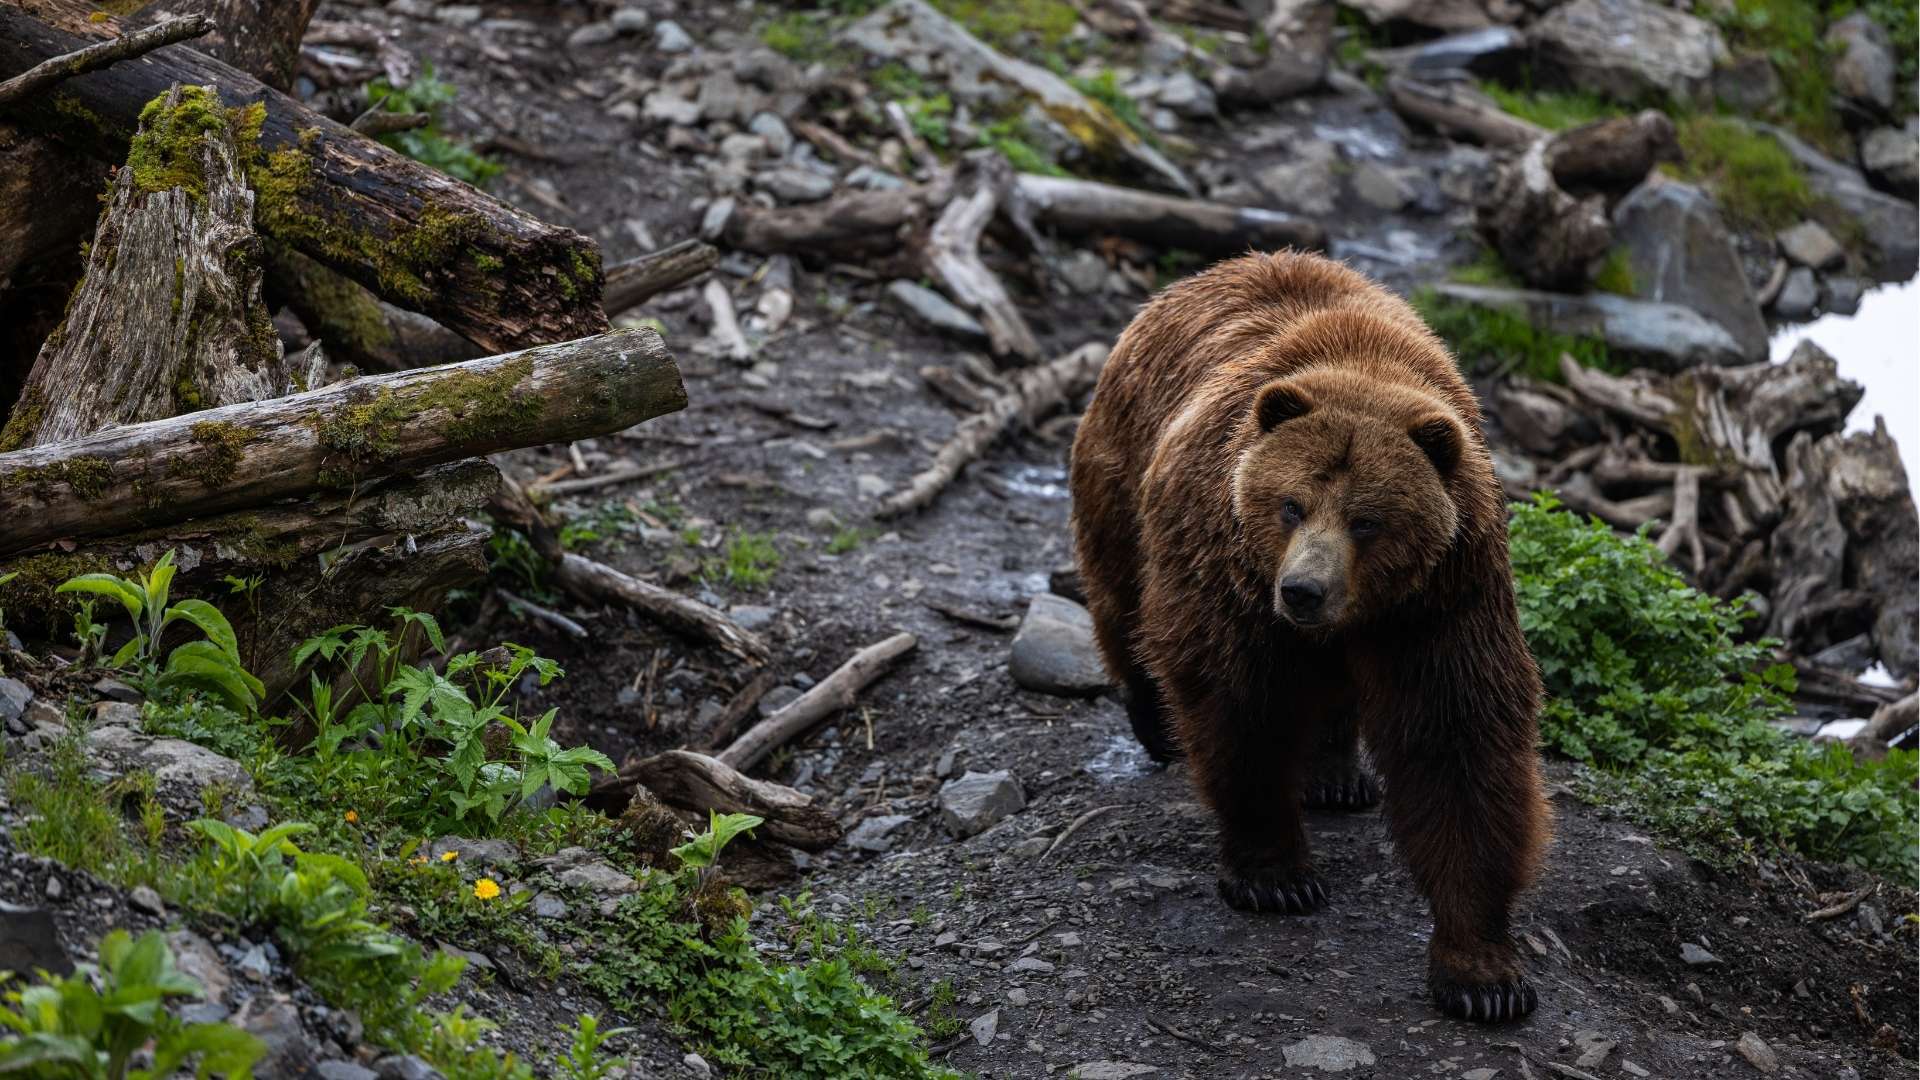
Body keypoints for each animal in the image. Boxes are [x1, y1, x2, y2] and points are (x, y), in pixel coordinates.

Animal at [1068, 251, 1551, 1023]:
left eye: (1367, 520)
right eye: (1290, 504)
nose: (1303, 591)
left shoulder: (1442, 599)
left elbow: (1457, 739)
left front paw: (1484, 975)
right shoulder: (1229, 571)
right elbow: (1241, 709)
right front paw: (1276, 876)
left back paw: (1337, 775)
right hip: (1124, 469)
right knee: (1123, 596)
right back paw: (1155, 720)